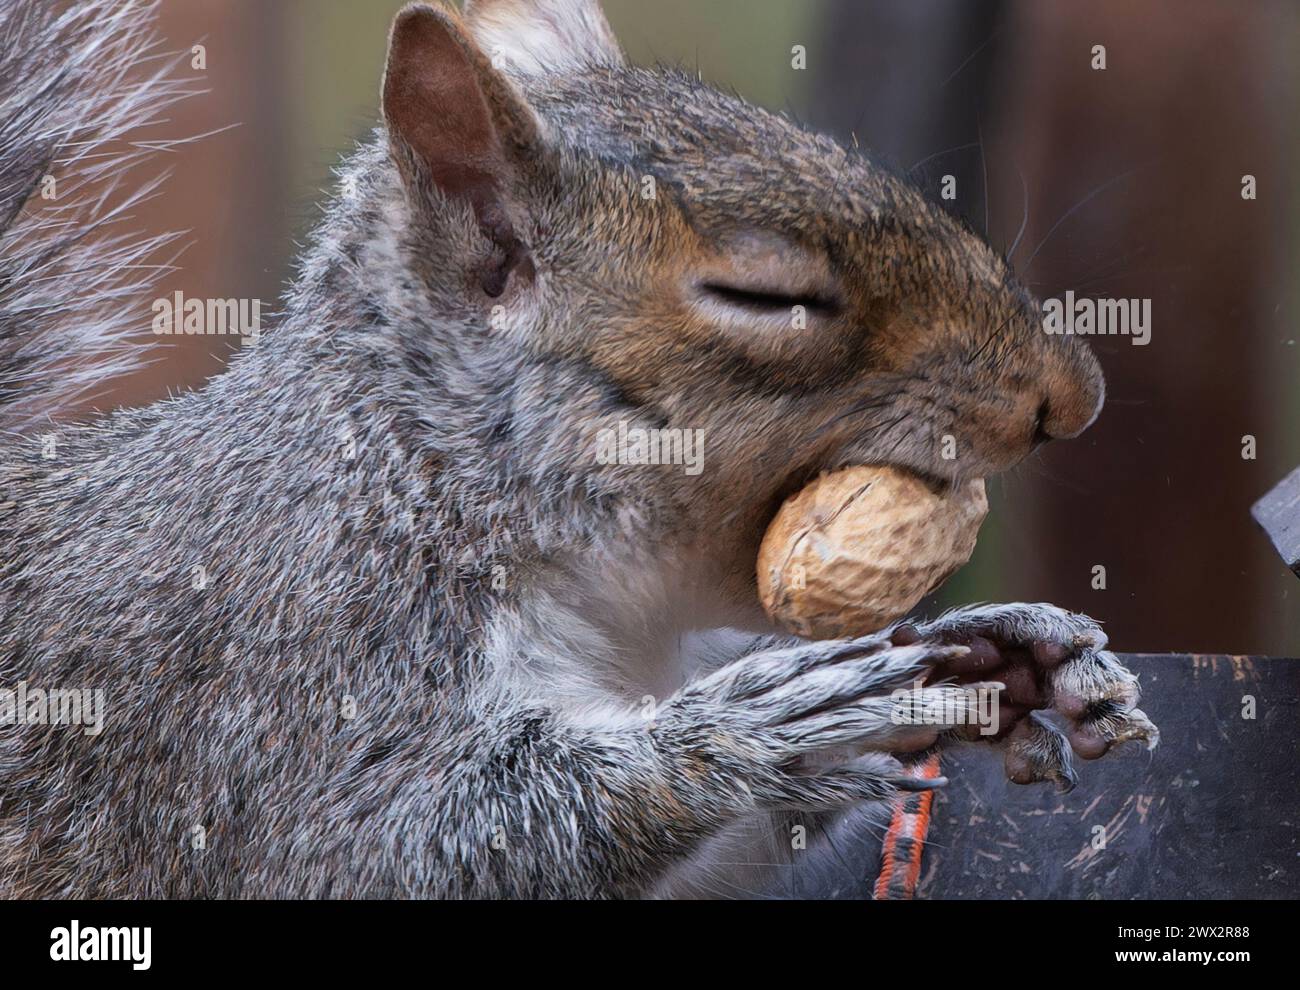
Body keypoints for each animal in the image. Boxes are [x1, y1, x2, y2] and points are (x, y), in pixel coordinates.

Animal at [0, 0, 1157, 898]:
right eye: (763, 295)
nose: (1072, 397)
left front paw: (995, 652)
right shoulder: (284, 675)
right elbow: (376, 853)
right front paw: (759, 729)